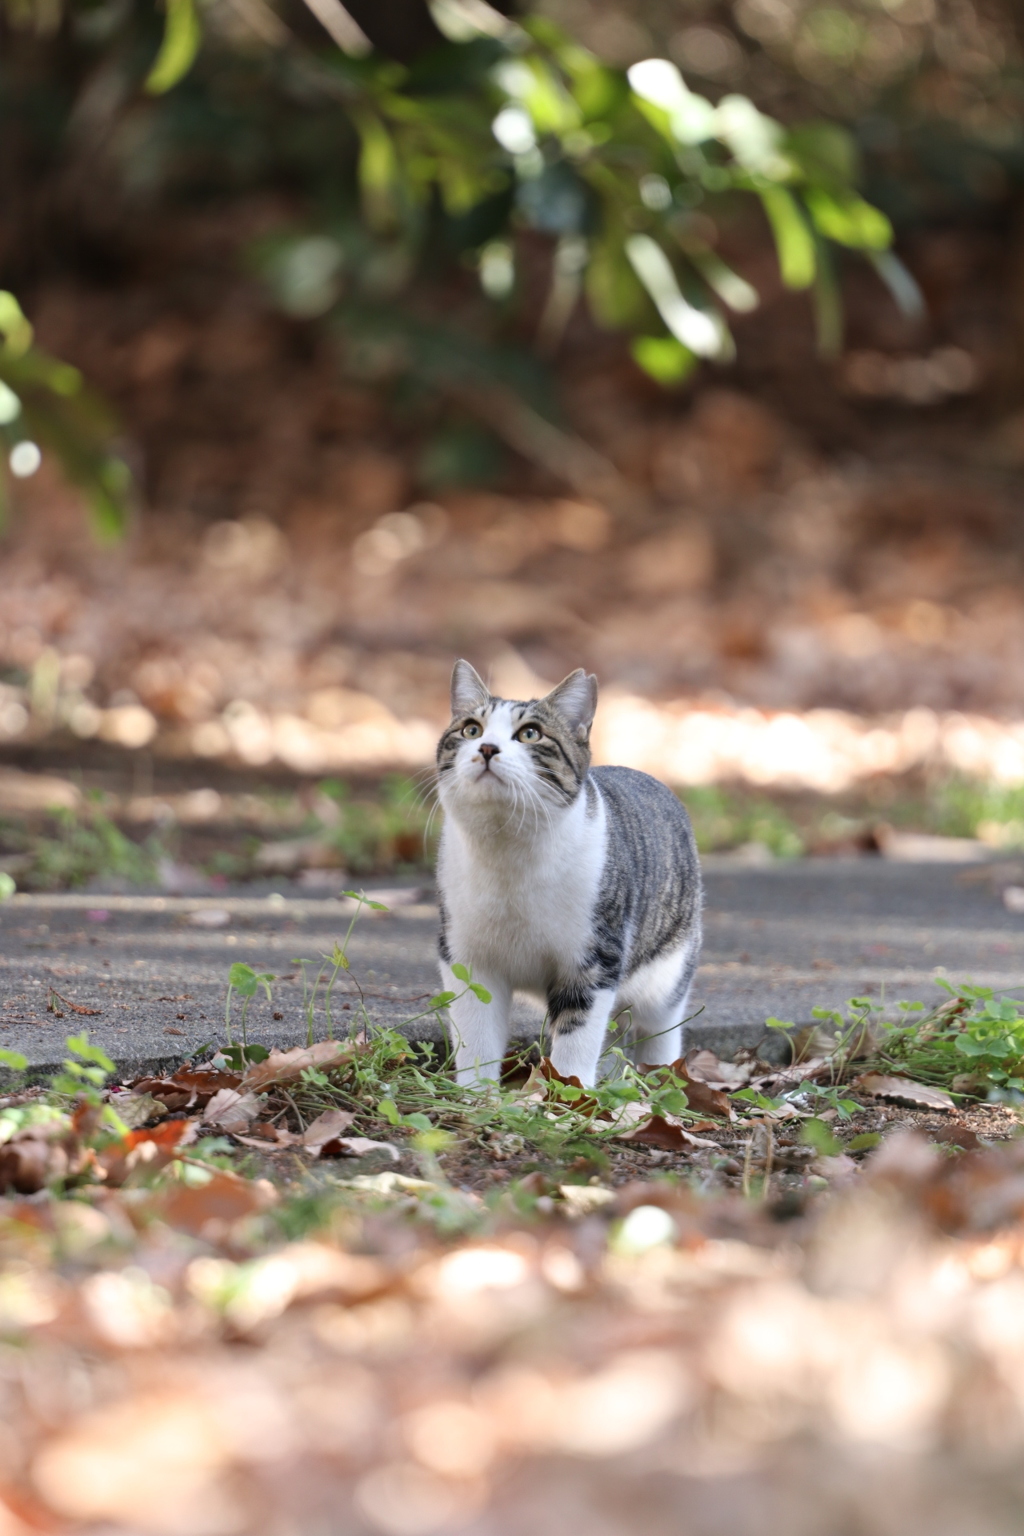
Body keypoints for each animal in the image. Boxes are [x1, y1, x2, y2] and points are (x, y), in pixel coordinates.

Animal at [432, 666, 706, 1087]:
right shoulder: (468, 958)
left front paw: (568, 1094)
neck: (509, 852)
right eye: (471, 730)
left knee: (658, 1029)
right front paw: (476, 1094)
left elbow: (577, 1042)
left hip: (669, 970)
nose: (487, 748)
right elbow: (476, 1038)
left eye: (530, 733)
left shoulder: (594, 961)